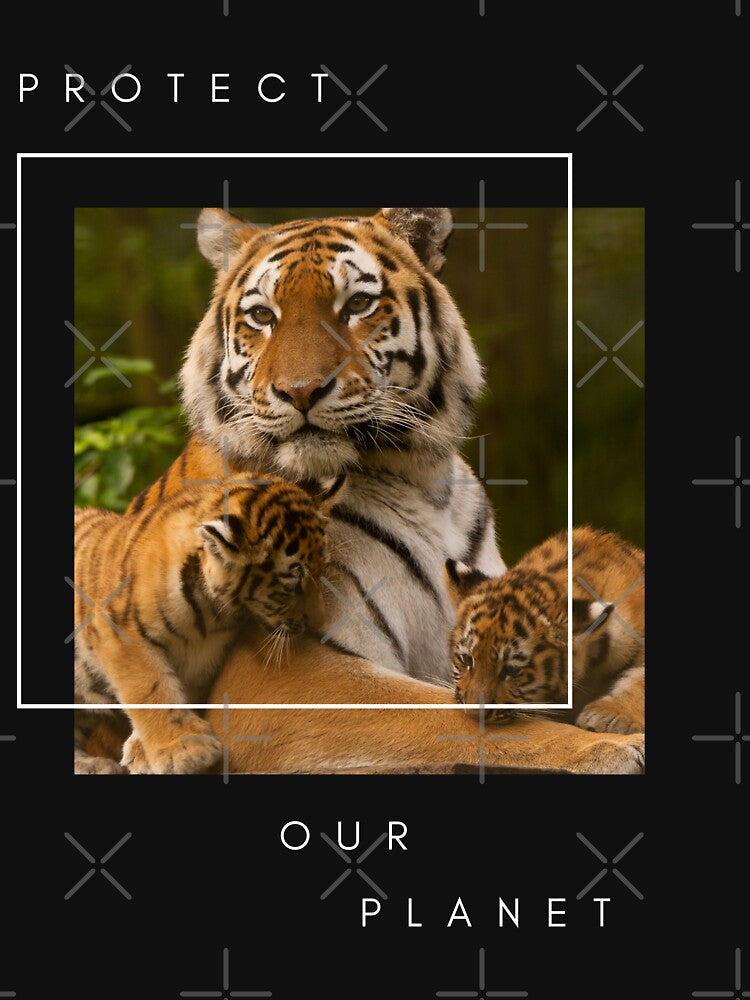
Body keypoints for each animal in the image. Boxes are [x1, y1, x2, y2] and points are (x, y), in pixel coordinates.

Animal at [74, 475, 343, 775]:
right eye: (291, 586)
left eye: (322, 570)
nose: (319, 622)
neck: (207, 610)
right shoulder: (121, 632)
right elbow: (151, 689)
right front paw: (183, 750)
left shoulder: (204, 653)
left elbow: (178, 690)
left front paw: (145, 751)